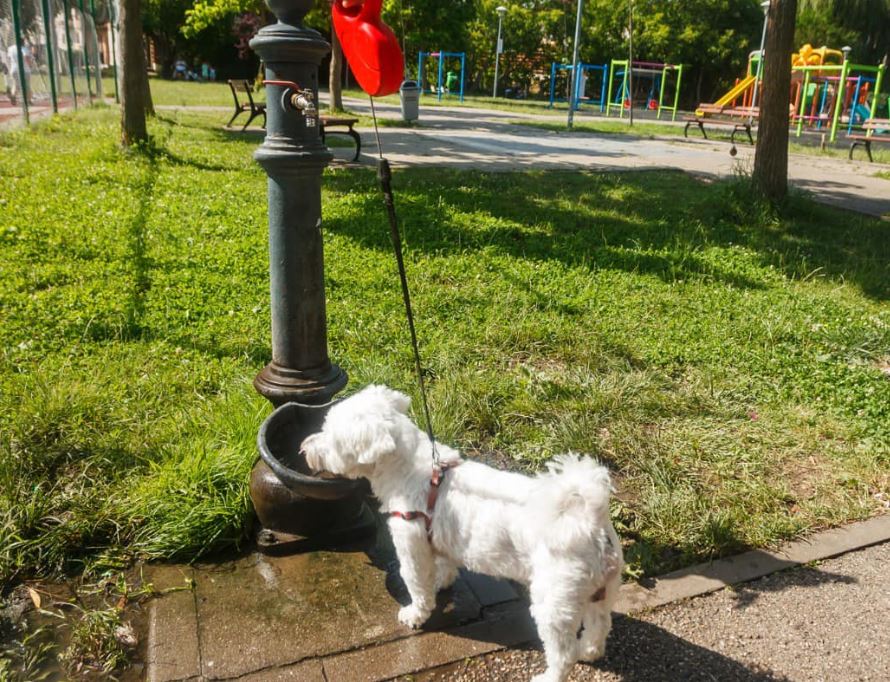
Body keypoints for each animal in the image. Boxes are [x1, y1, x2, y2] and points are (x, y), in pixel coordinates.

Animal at [302, 382, 620, 680]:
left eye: (331, 437)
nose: (305, 447)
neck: (413, 471)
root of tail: (589, 519)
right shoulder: (439, 538)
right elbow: (444, 565)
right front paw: (442, 580)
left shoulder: (411, 542)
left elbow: (416, 583)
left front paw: (415, 614)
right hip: (602, 590)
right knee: (600, 624)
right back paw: (589, 651)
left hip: (555, 601)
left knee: (563, 653)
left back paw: (550, 674)